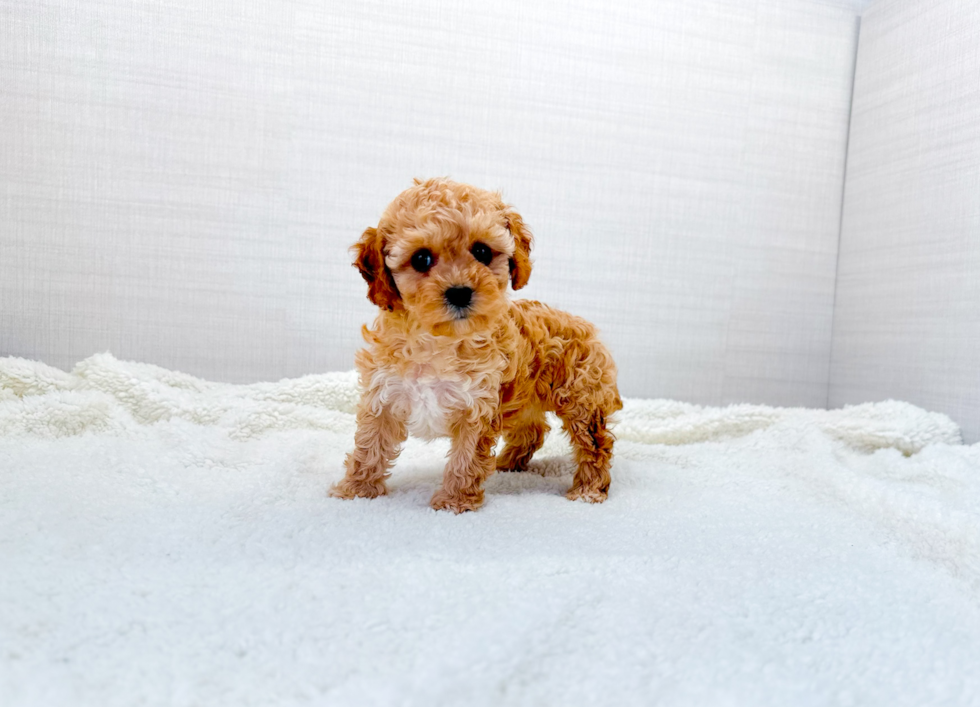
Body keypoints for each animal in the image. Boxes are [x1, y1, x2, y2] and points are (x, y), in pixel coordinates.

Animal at [330, 176, 620, 508]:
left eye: (482, 252)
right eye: (421, 259)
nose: (459, 292)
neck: (439, 341)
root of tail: (583, 324)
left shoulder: (477, 405)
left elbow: (466, 458)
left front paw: (454, 501)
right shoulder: (383, 395)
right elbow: (369, 447)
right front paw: (356, 490)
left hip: (582, 399)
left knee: (595, 444)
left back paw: (588, 489)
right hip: (527, 397)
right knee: (533, 429)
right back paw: (508, 462)